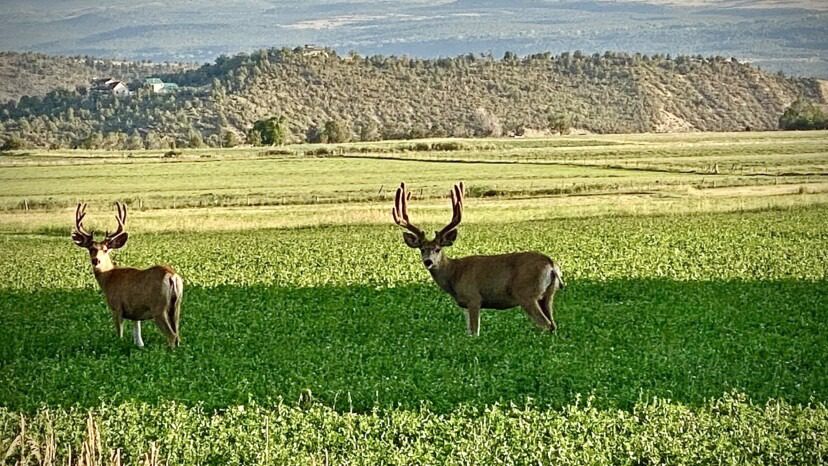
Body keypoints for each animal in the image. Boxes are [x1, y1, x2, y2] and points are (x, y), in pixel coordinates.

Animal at [72, 202, 184, 348]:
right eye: (91, 249)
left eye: (105, 249)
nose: (96, 260)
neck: (108, 278)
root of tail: (172, 276)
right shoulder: (135, 313)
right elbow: (138, 337)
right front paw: (139, 346)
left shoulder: (117, 307)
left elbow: (119, 334)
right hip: (176, 306)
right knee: (177, 335)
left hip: (159, 308)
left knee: (172, 336)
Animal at [392, 181, 564, 334]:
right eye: (422, 249)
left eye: (437, 249)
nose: (428, 261)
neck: (454, 274)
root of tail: (551, 264)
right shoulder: (464, 305)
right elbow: (469, 332)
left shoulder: (473, 298)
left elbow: (475, 332)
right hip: (547, 295)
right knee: (553, 325)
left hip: (527, 294)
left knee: (546, 324)